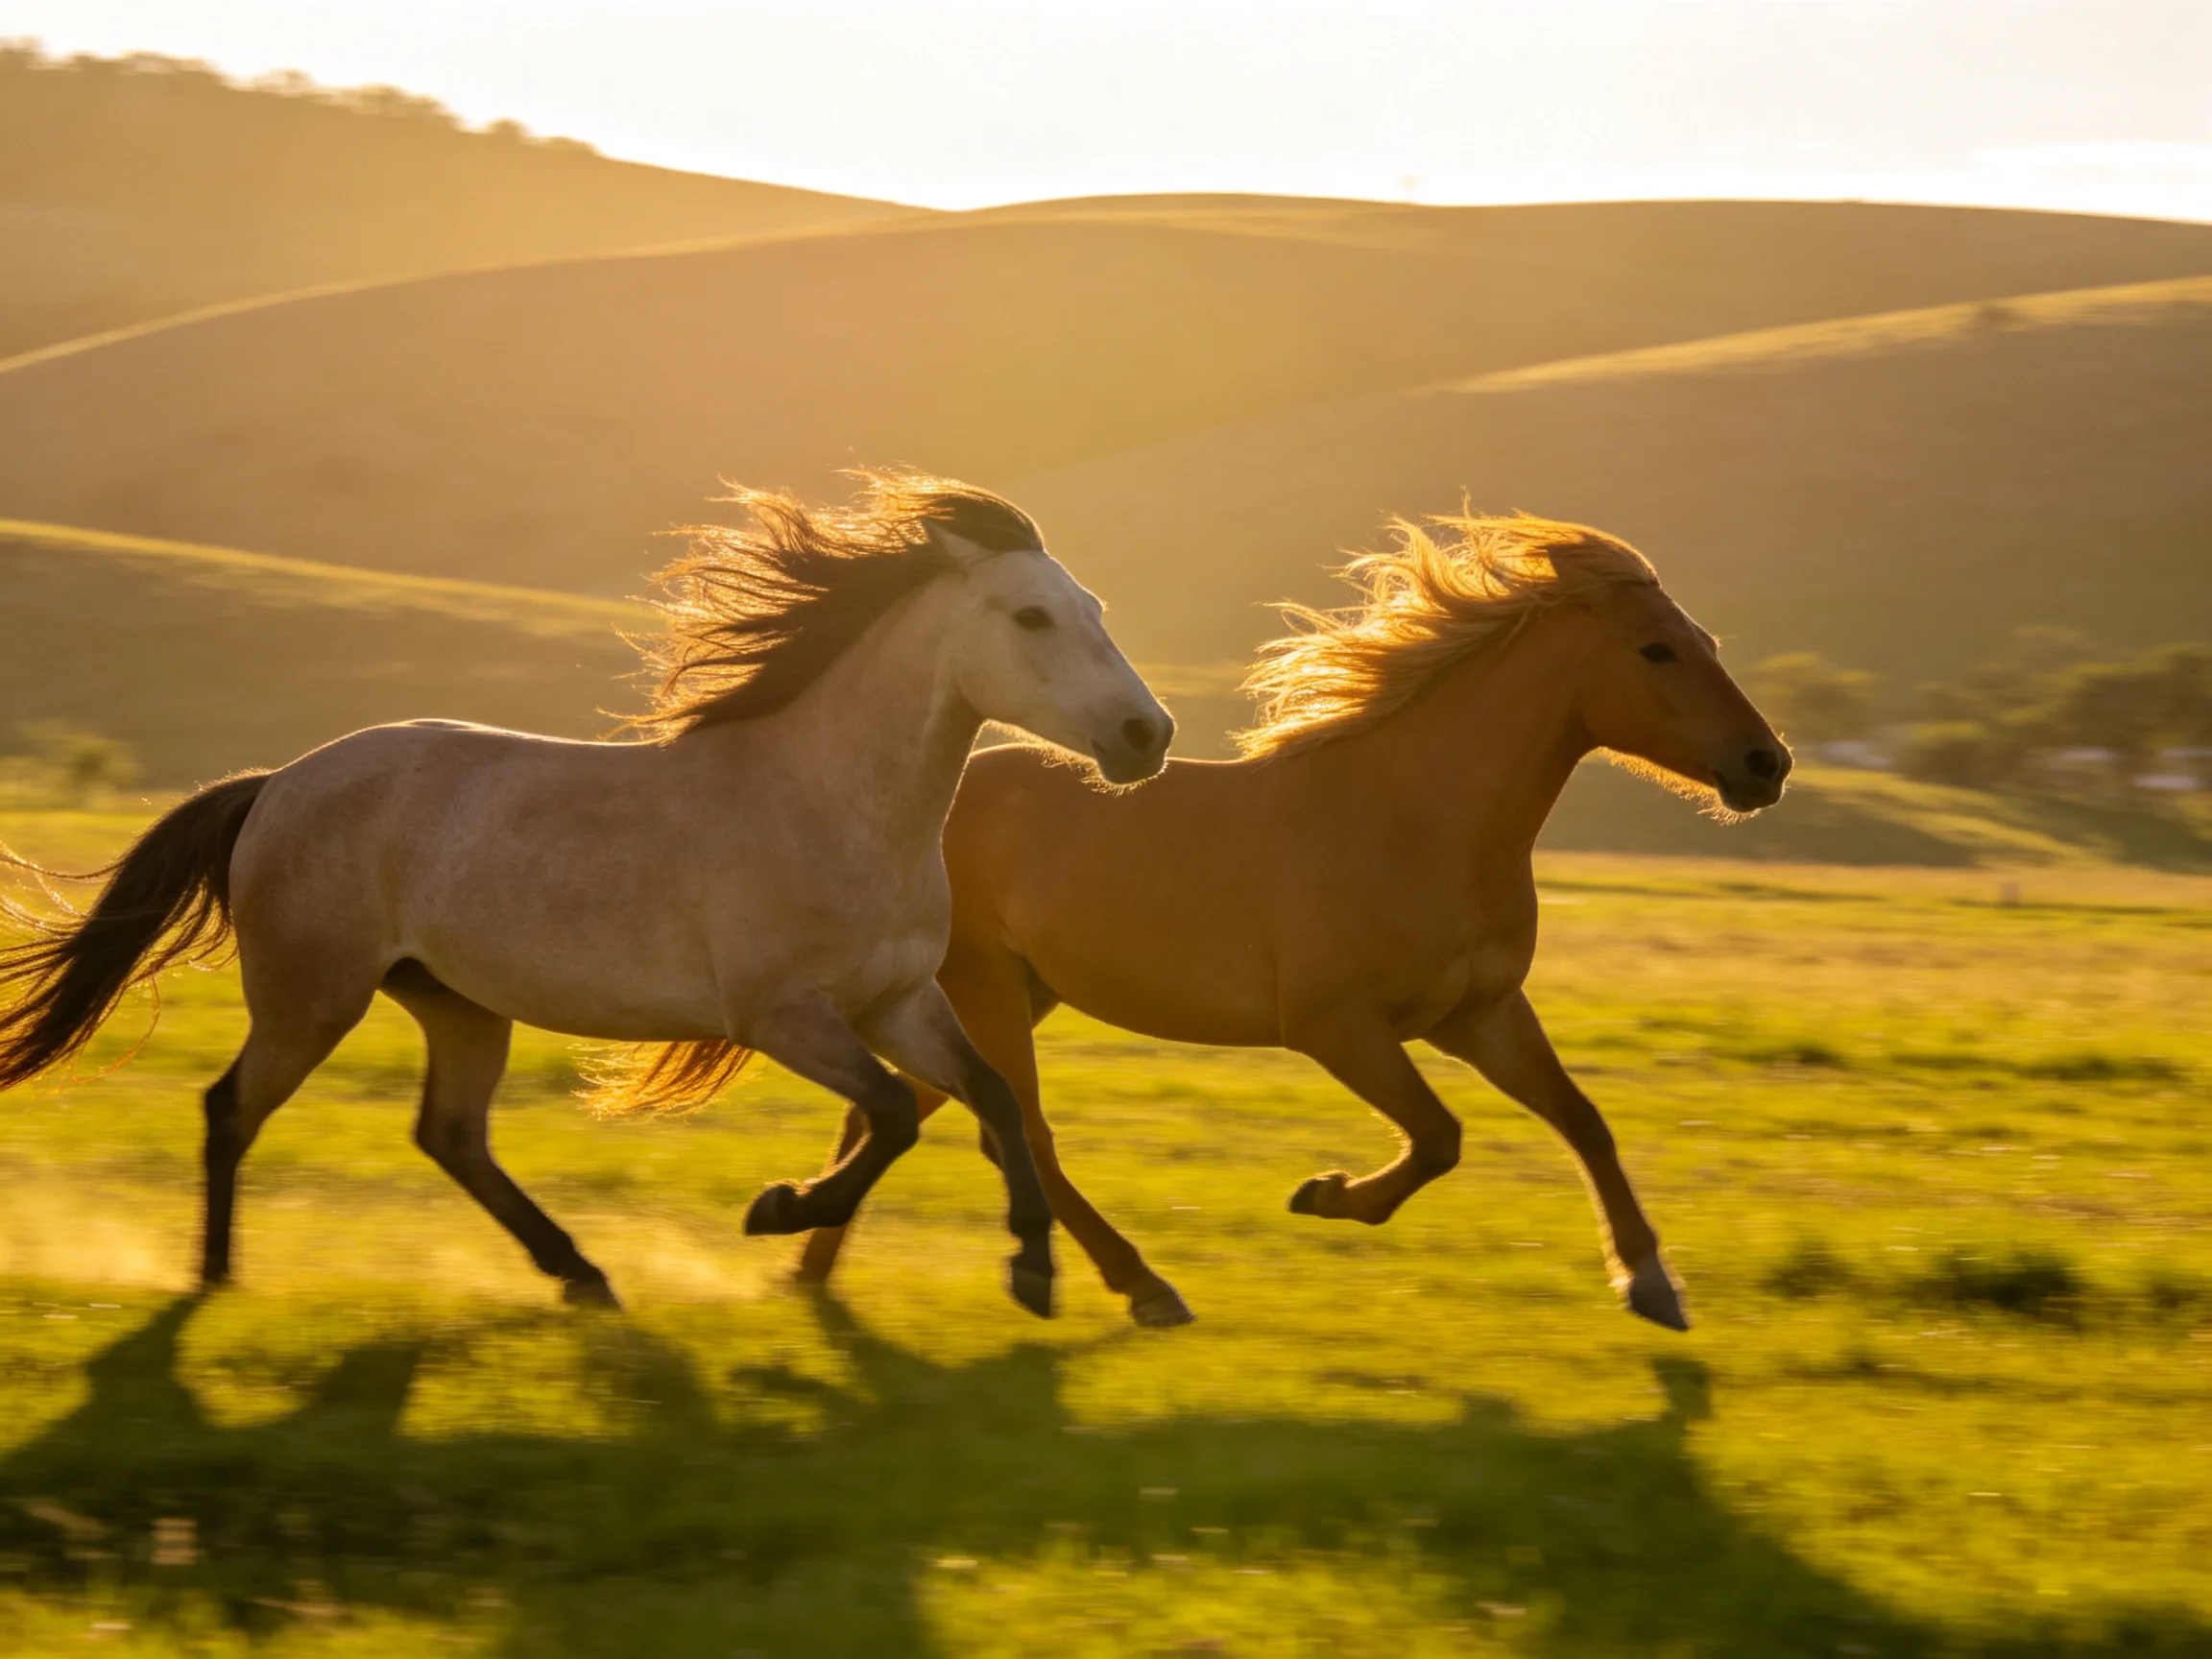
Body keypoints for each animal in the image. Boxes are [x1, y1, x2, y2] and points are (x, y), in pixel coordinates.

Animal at [0, 471, 1172, 1319]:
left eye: (1094, 606)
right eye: (1031, 616)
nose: (1146, 734)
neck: (833, 802)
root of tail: (276, 782)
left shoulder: (898, 1001)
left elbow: (993, 1101)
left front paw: (1034, 1274)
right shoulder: (784, 1014)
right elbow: (889, 1114)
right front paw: (778, 1211)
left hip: (455, 1003)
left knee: (449, 1135)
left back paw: (582, 1273)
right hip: (311, 996)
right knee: (232, 1108)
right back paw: (213, 1279)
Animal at [792, 511, 1791, 1330]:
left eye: (1703, 640)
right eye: (1657, 651)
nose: (1765, 764)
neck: (1417, 822)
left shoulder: (1482, 1014)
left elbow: (1583, 1120)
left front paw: (1653, 1284)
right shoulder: (1335, 1025)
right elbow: (1439, 1136)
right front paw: (1325, 1194)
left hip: (1006, 996)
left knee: (922, 1110)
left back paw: (808, 1252)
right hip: (988, 988)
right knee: (1019, 1134)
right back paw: (1142, 1287)